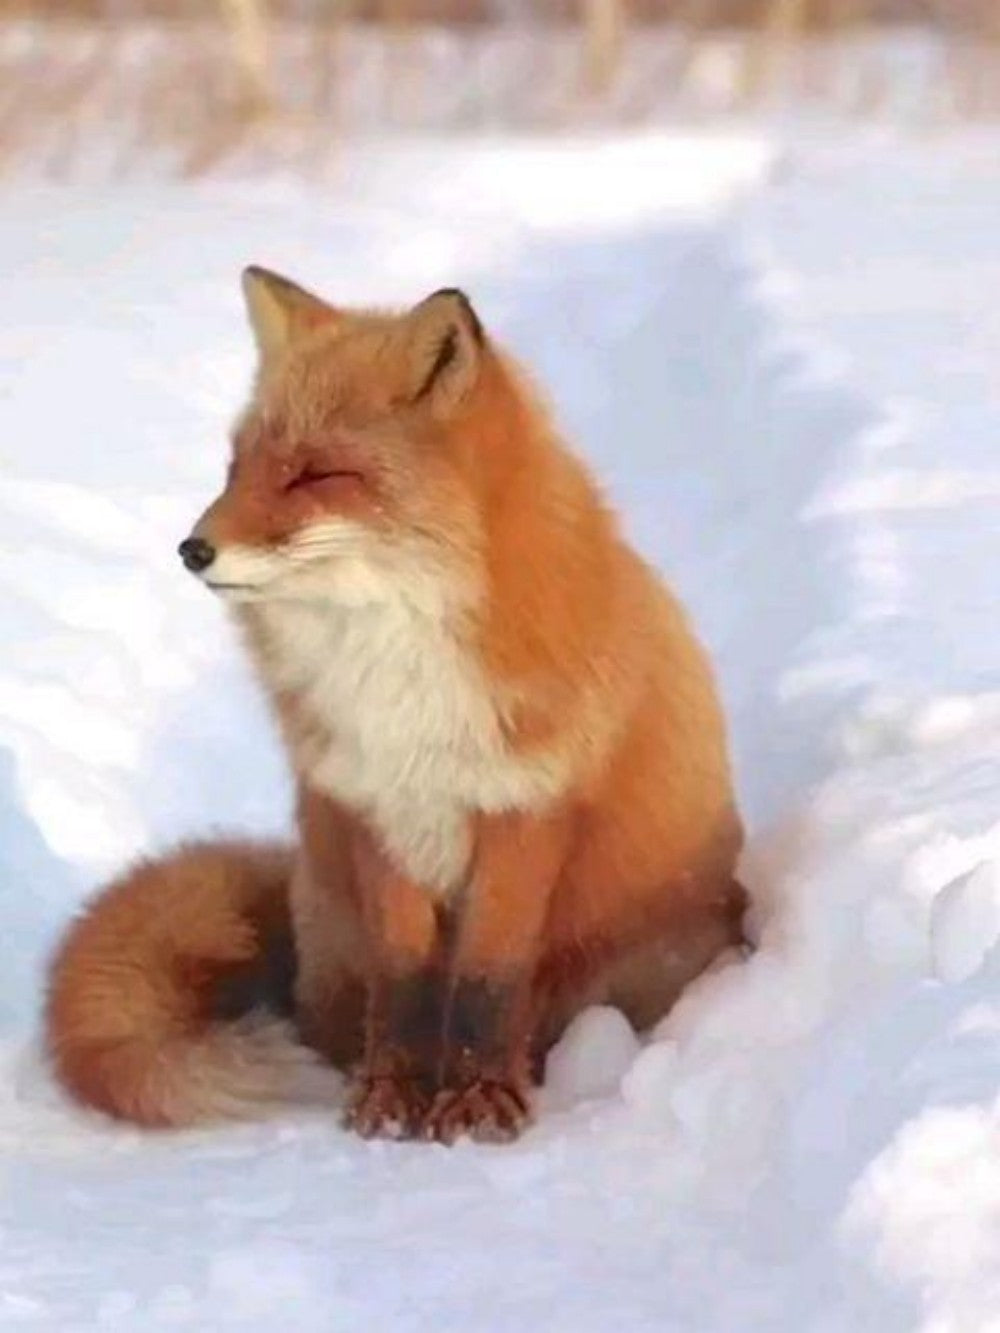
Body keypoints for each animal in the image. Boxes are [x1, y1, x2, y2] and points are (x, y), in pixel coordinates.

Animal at [45, 268, 747, 1143]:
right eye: (238, 467)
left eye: (316, 474)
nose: (192, 550)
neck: (396, 663)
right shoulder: (378, 808)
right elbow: (405, 980)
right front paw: (395, 1094)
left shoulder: (526, 810)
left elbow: (487, 981)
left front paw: (479, 1098)